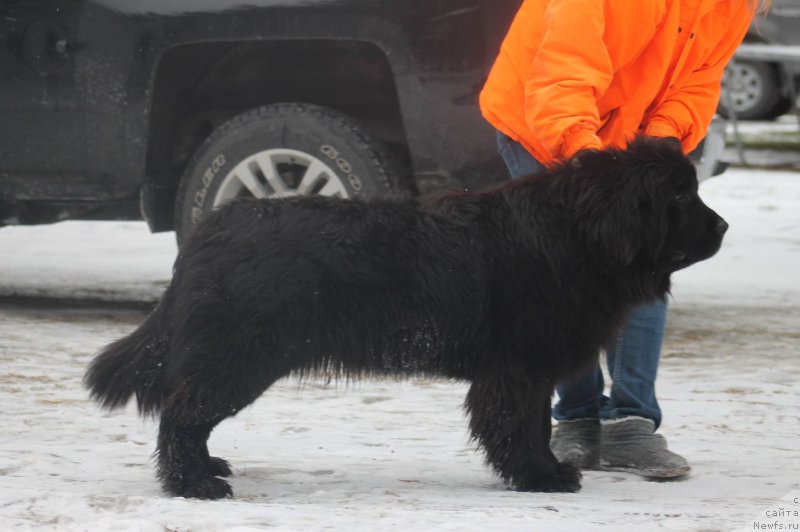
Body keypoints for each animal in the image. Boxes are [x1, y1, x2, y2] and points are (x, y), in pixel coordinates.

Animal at [86, 137, 724, 498]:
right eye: (679, 198)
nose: (722, 227)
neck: (577, 235)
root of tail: (208, 232)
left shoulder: (526, 370)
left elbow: (532, 425)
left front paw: (538, 471)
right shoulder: (518, 370)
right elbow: (521, 426)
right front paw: (541, 477)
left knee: (188, 416)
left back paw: (208, 469)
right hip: (239, 357)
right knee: (182, 414)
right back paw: (194, 486)